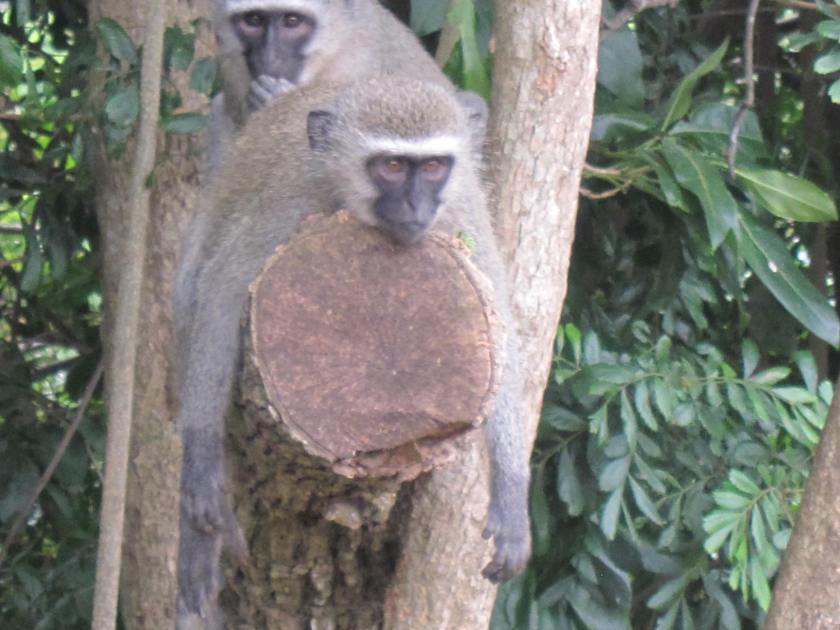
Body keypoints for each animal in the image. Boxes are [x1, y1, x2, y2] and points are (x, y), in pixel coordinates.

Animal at [174, 77, 531, 621]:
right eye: (391, 166)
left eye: (432, 166)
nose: (416, 208)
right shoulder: (288, 200)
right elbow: (219, 291)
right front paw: (200, 466)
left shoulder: (462, 207)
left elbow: (503, 328)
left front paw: (512, 492)